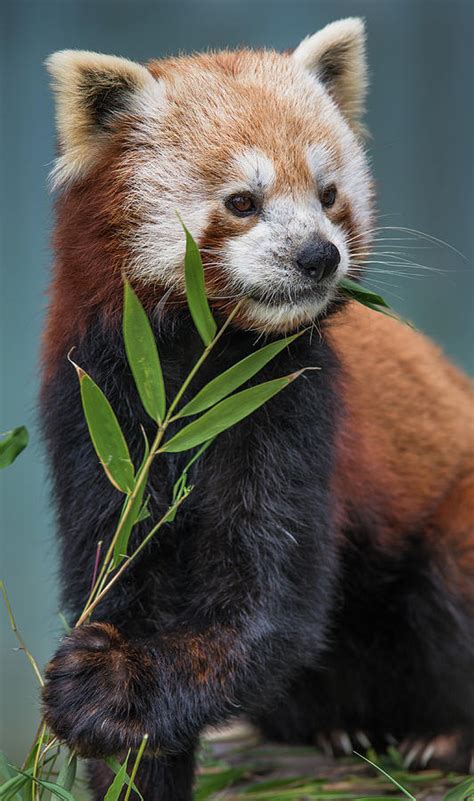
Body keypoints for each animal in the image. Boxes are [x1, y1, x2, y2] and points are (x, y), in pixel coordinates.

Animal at [40, 18, 474, 800]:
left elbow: (270, 609)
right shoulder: (96, 407)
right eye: (243, 201)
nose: (318, 256)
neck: (196, 372)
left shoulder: (295, 405)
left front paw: (108, 690)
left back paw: (447, 734)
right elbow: (118, 570)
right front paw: (129, 766)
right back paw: (339, 728)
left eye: (329, 195)